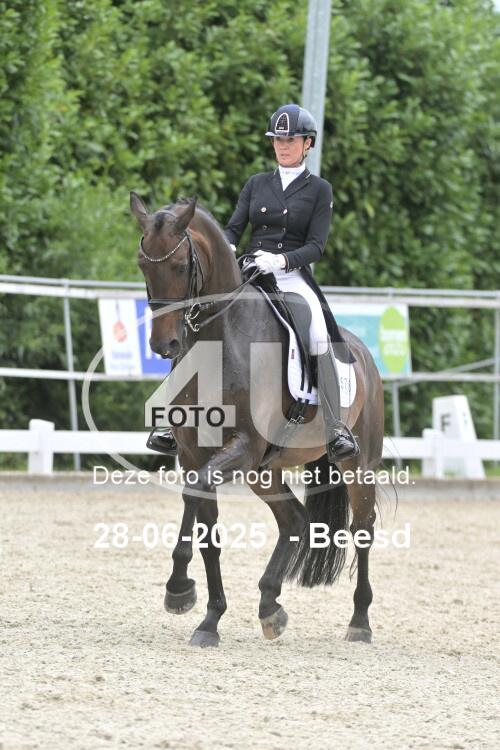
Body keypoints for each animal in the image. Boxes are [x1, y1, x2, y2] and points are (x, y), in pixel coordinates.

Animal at [130, 191, 384, 648]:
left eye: (179, 267)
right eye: (144, 265)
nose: (164, 345)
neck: (222, 341)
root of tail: (361, 352)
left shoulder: (243, 448)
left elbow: (199, 505)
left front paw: (181, 591)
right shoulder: (196, 454)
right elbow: (206, 530)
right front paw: (205, 614)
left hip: (358, 465)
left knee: (362, 530)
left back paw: (359, 622)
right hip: (264, 472)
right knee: (295, 520)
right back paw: (270, 606)